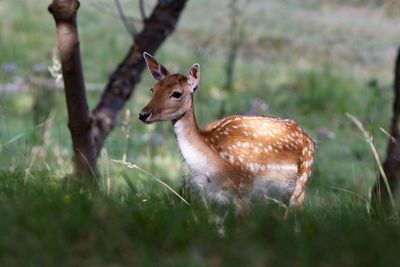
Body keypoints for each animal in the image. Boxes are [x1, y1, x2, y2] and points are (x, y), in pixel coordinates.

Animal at [140, 52, 316, 216]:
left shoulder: (243, 189)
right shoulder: (209, 195)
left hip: (302, 181)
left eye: (176, 93)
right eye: (152, 89)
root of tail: (309, 138)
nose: (143, 114)